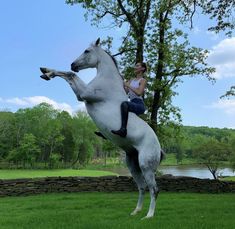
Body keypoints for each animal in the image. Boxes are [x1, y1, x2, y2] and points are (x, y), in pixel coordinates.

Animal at [39, 38, 163, 219]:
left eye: (87, 51)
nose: (73, 64)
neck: (107, 80)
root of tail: (159, 148)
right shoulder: (82, 94)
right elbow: (68, 75)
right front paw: (46, 72)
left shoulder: (84, 94)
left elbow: (70, 75)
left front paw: (47, 73)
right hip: (133, 164)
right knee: (142, 187)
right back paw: (135, 211)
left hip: (146, 166)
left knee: (154, 189)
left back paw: (149, 216)